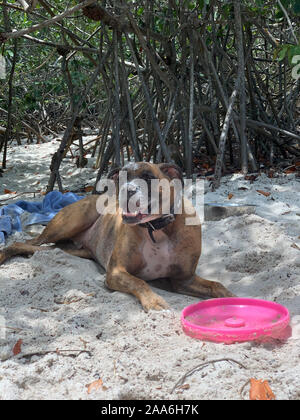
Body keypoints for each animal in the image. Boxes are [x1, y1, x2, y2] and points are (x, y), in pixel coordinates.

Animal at [0, 162, 233, 310]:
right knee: (25, 241)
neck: (156, 229)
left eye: (148, 177)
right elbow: (140, 283)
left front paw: (231, 298)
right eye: (121, 178)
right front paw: (154, 301)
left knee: (34, 247)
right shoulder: (116, 271)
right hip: (69, 223)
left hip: (72, 249)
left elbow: (217, 285)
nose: (127, 190)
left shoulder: (184, 280)